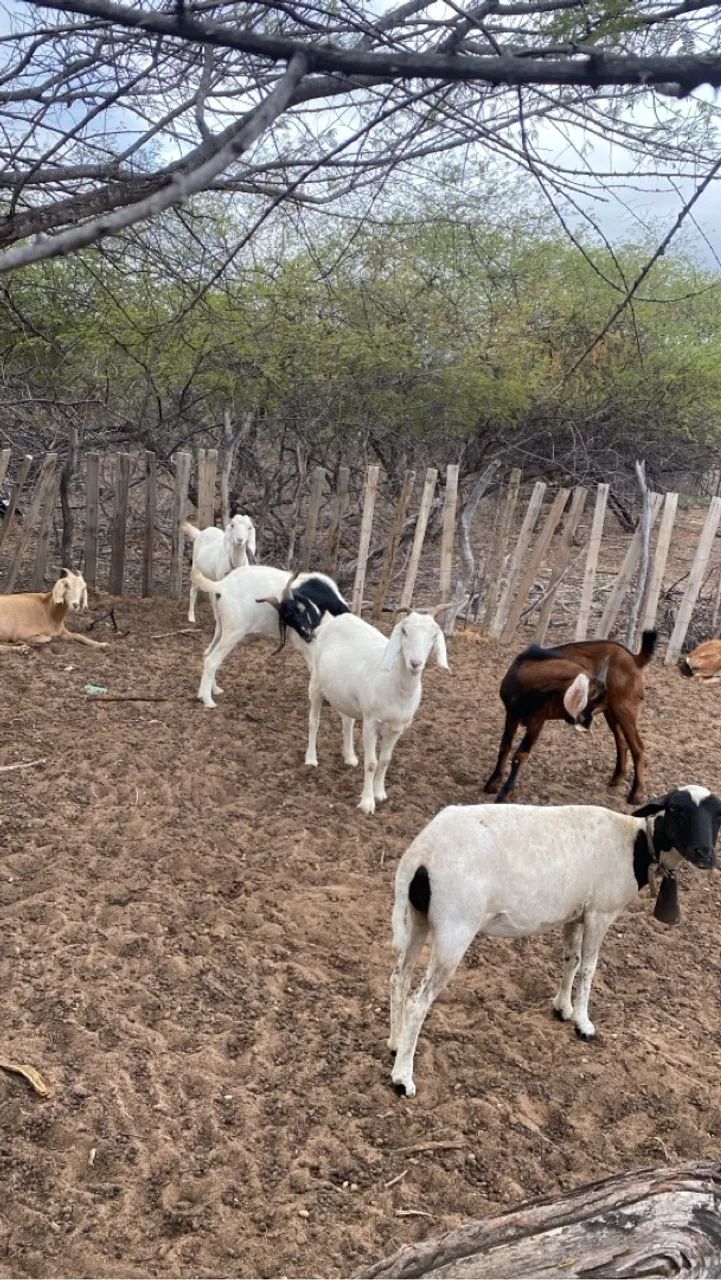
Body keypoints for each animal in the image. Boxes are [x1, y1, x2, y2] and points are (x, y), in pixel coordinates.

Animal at [191, 565, 348, 707]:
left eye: (300, 610)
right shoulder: (309, 645)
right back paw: (208, 700)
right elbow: (315, 668)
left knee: (207, 653)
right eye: (287, 617)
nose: (307, 633)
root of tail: (222, 586)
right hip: (233, 631)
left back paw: (212, 691)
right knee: (212, 660)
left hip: (221, 627)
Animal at [304, 608, 448, 815]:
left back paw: (350, 757)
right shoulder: (371, 722)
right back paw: (311, 759)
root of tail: (333, 620)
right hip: (316, 681)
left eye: (434, 635)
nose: (415, 663)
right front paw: (367, 803)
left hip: (343, 694)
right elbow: (372, 763)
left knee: (347, 721)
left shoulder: (397, 728)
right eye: (404, 631)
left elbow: (385, 760)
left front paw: (380, 793)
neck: (394, 682)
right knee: (313, 721)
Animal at [389, 785, 721, 1097]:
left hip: (417, 916)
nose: (705, 854)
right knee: (419, 1001)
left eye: (717, 816)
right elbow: (588, 969)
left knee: (398, 978)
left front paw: (563, 1008)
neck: (636, 843)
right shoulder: (599, 913)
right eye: (676, 809)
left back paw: (395, 1042)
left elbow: (571, 960)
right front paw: (584, 1024)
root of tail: (422, 854)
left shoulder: (575, 914)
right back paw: (403, 1078)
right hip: (455, 927)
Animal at [484, 630, 657, 804]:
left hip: (625, 710)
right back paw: (616, 779)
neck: (525, 680)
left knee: (637, 747)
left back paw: (636, 795)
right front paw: (492, 783)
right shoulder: (511, 714)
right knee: (621, 742)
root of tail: (635, 658)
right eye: (593, 696)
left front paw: (504, 794)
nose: (585, 722)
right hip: (611, 712)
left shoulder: (537, 721)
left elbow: (520, 755)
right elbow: (504, 747)